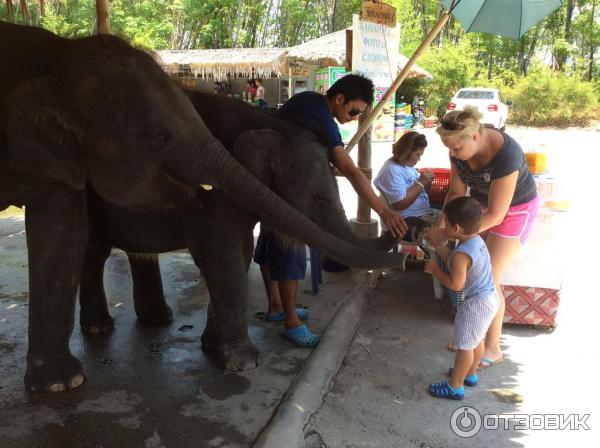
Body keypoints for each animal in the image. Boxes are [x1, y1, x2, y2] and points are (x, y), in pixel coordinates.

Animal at [78, 90, 398, 372]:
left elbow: (241, 254)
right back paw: (98, 329)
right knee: (93, 252)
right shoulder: (211, 193)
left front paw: (213, 346)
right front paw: (244, 364)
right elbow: (224, 254)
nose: (400, 227)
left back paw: (157, 320)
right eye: (317, 198)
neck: (268, 122)